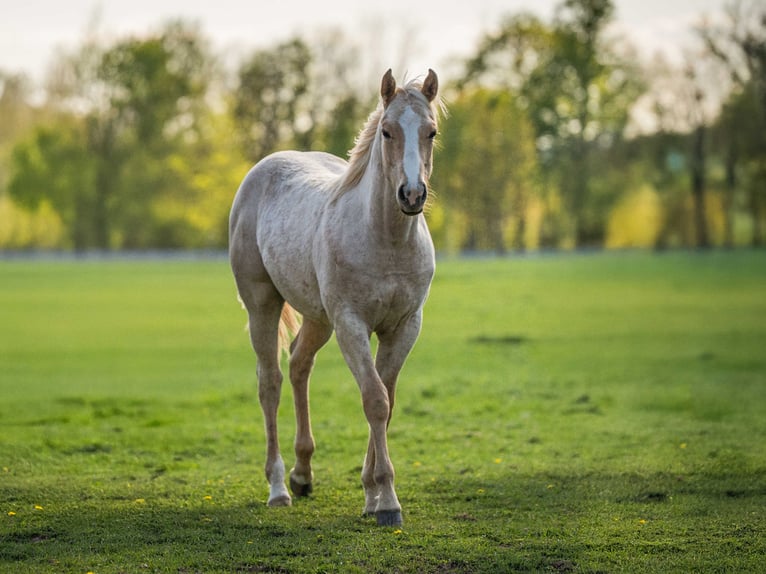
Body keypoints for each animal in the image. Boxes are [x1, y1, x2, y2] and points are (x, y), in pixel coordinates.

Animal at [229, 69, 440, 527]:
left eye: (431, 131)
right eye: (387, 131)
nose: (412, 195)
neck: (385, 241)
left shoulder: (405, 326)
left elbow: (387, 401)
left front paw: (372, 494)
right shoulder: (350, 325)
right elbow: (374, 400)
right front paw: (387, 501)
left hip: (317, 319)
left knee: (298, 365)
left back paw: (302, 475)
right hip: (263, 306)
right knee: (270, 382)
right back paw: (278, 488)